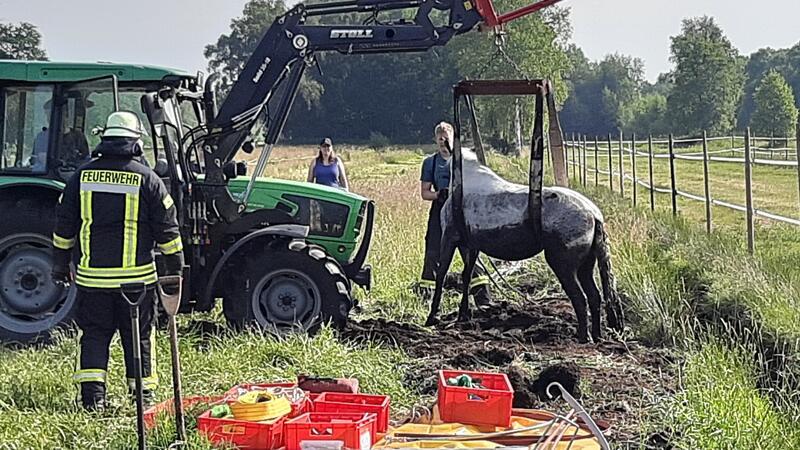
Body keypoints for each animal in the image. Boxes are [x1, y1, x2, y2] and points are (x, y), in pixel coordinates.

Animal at [424, 149, 624, 342]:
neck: (461, 184)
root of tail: (593, 214)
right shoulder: (471, 246)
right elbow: (467, 276)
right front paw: (462, 315)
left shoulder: (449, 238)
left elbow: (441, 274)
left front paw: (432, 317)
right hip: (585, 266)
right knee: (594, 297)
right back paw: (596, 335)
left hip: (563, 266)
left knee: (580, 298)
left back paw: (583, 337)